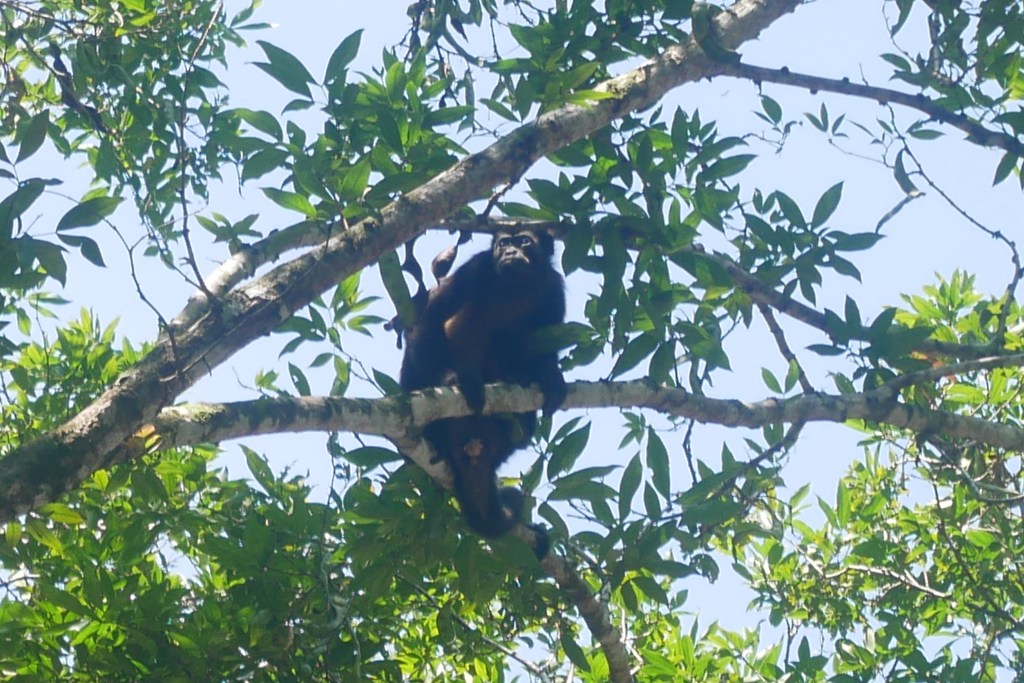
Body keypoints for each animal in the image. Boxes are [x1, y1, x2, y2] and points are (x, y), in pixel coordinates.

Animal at [399, 228, 566, 549]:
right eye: (503, 243)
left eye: (524, 241)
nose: (510, 252)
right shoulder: (475, 269)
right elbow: (429, 317)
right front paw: (450, 378)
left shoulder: (555, 289)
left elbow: (547, 344)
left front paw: (553, 378)